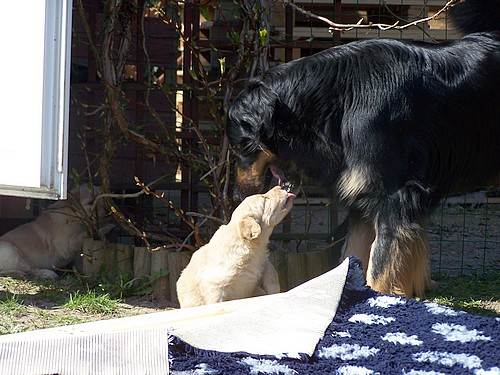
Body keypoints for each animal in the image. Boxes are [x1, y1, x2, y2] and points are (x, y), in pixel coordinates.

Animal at [228, 0, 500, 300]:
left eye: (239, 146)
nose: (237, 195)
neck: (339, 101)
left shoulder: (394, 196)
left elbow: (380, 267)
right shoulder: (363, 196)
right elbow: (352, 256)